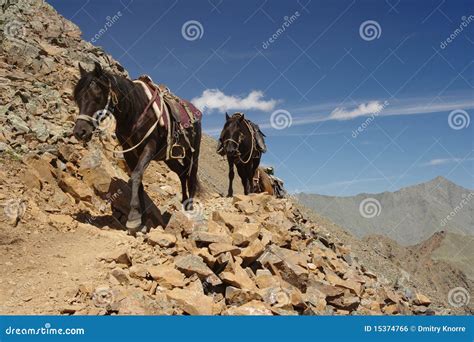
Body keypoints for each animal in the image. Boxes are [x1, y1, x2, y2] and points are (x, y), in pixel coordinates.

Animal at [73, 62, 201, 235]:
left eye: (97, 97)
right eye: (77, 98)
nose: (80, 132)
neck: (134, 112)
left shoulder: (149, 147)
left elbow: (135, 176)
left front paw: (133, 218)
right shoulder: (130, 153)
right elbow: (138, 180)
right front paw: (142, 219)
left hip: (192, 152)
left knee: (191, 176)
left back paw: (190, 207)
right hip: (169, 157)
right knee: (182, 173)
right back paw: (184, 202)